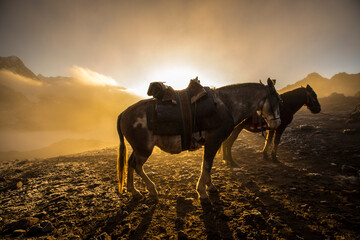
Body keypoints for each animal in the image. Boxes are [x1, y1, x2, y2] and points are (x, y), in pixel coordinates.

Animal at [117, 78, 282, 199]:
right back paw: (151, 189)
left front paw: (210, 186)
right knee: (137, 166)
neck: (226, 105)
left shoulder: (211, 143)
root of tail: (124, 113)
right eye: (278, 100)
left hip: (138, 149)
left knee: (130, 163)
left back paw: (134, 191)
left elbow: (207, 165)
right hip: (144, 149)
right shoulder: (213, 141)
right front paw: (202, 191)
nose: (277, 123)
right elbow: (207, 165)